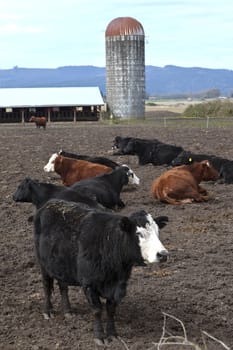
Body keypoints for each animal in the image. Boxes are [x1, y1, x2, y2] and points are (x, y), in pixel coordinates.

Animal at [33, 198, 168, 346]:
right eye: (139, 233)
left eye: (158, 232)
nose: (163, 254)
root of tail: (51, 202)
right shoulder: (89, 284)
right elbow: (97, 310)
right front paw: (100, 336)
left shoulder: (118, 286)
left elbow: (111, 310)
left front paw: (113, 334)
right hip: (43, 264)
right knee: (46, 286)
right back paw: (48, 311)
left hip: (61, 266)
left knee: (63, 287)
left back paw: (68, 311)